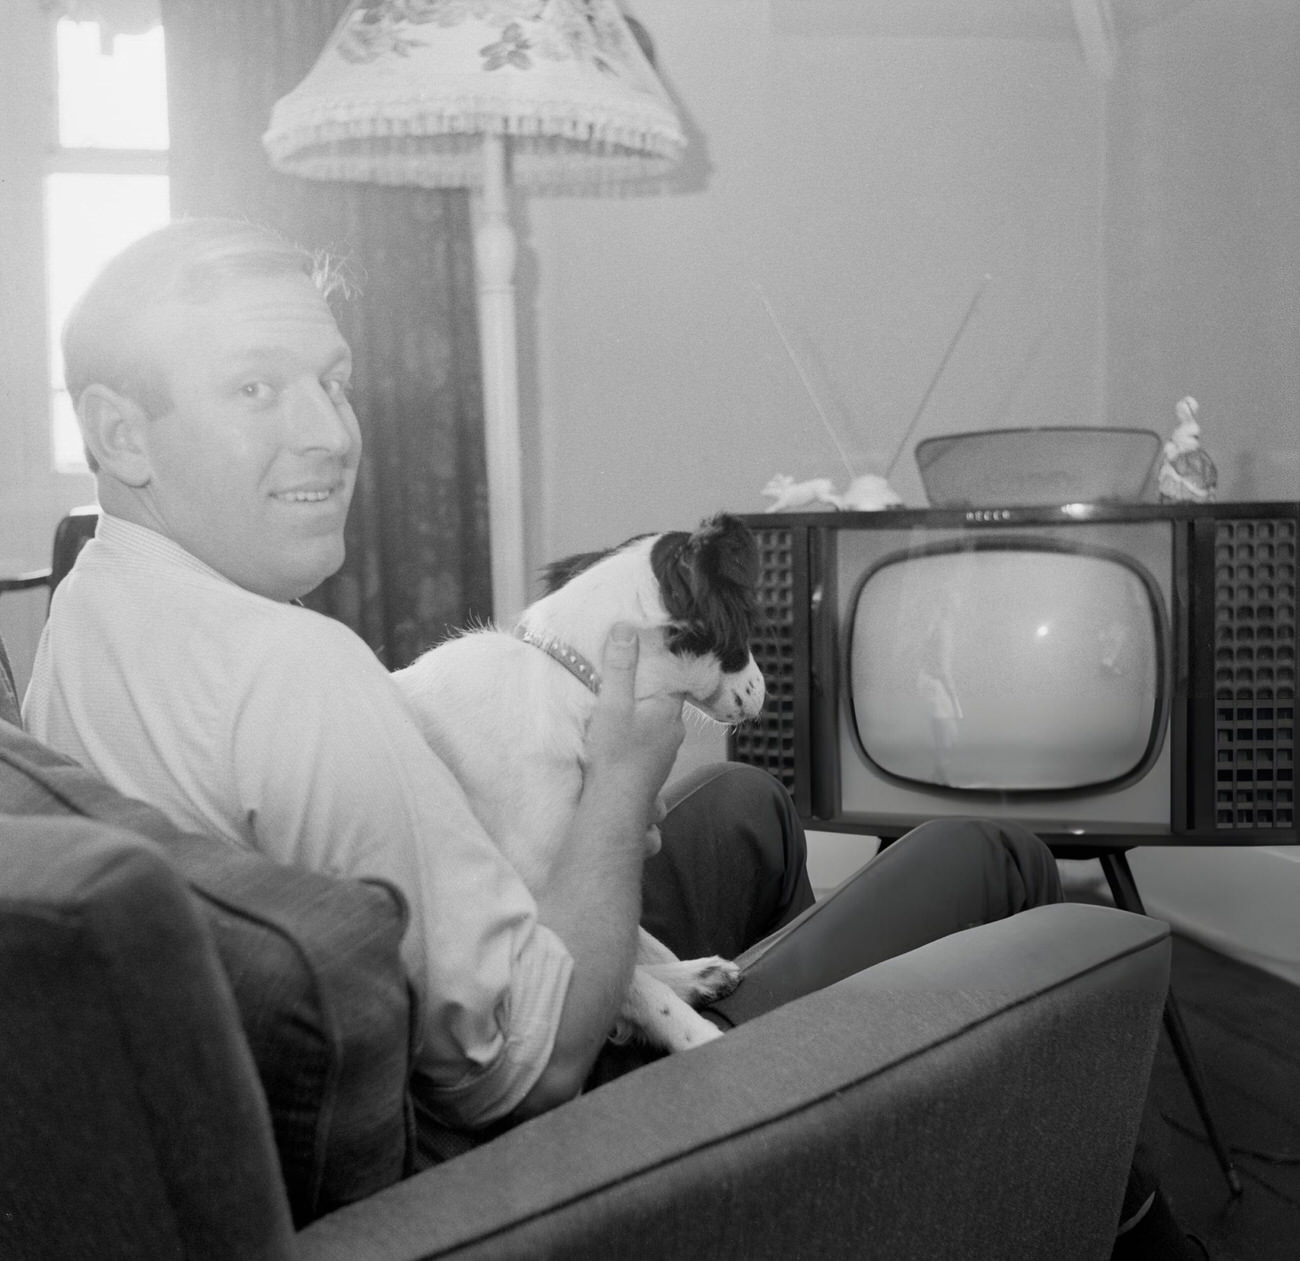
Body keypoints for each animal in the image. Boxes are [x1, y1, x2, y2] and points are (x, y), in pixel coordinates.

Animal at [392, 512, 759, 1050]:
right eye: (748, 628)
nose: (764, 694)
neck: (573, 682)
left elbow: (633, 948)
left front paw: (679, 974)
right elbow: (629, 985)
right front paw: (695, 1036)